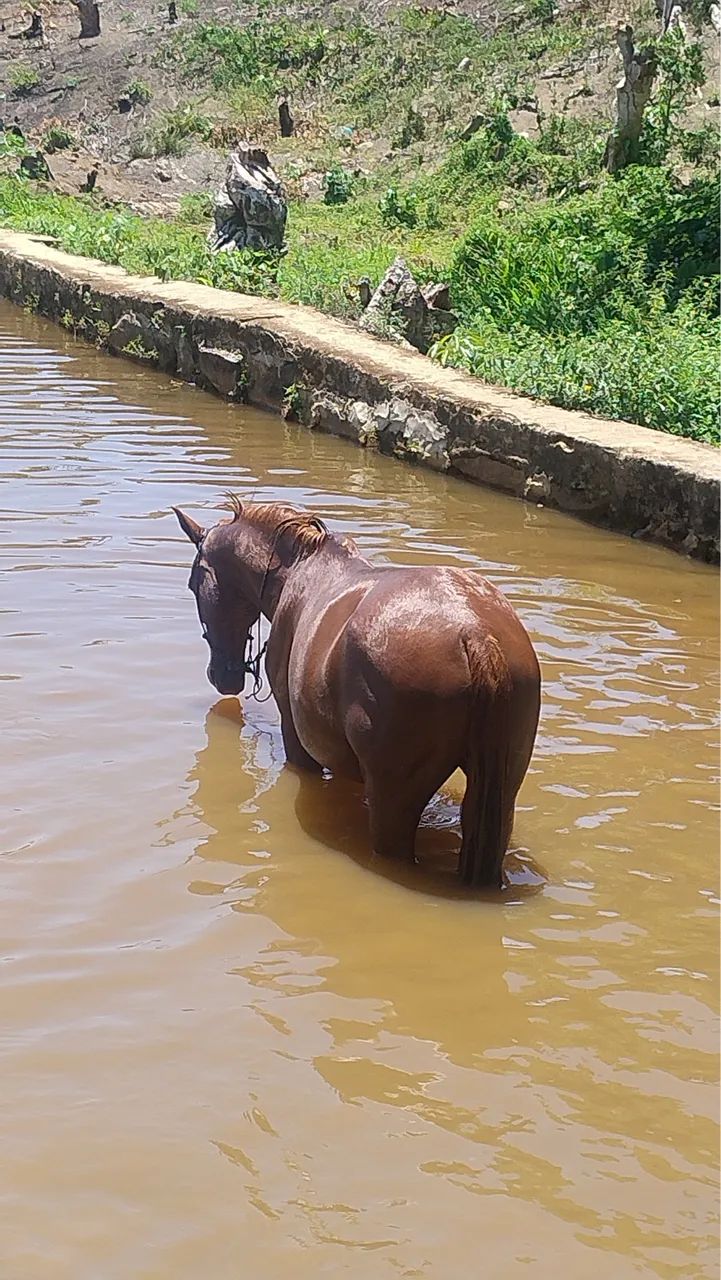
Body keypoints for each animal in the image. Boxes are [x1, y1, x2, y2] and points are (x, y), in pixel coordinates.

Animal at [173, 497, 541, 888]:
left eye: (194, 583)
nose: (221, 676)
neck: (298, 571)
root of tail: (474, 633)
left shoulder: (298, 740)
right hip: (503, 790)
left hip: (394, 800)